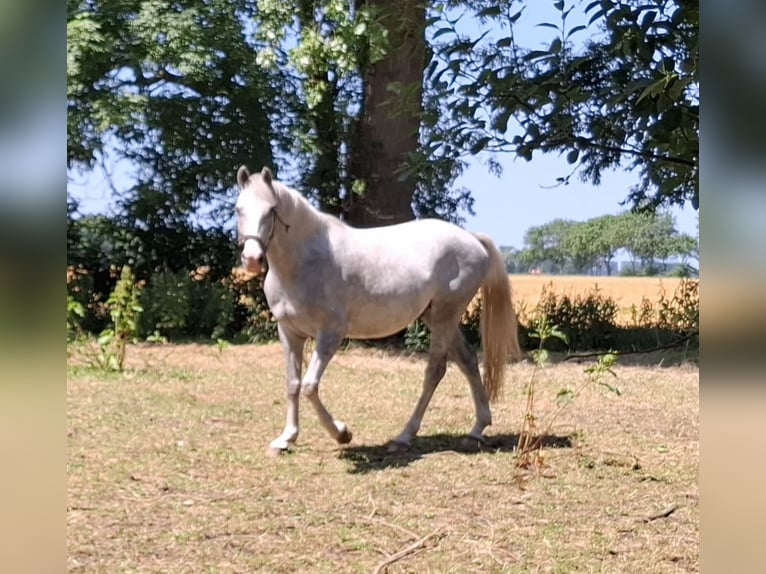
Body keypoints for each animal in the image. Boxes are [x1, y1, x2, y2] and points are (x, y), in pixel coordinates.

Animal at [235, 165, 522, 455]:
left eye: (271, 210)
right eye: (238, 209)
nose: (252, 259)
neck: (305, 262)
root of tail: (472, 240)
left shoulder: (330, 335)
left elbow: (309, 386)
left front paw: (342, 433)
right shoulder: (290, 333)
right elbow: (293, 384)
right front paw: (286, 438)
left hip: (445, 317)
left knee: (435, 371)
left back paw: (403, 437)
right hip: (436, 317)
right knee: (468, 361)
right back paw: (476, 431)